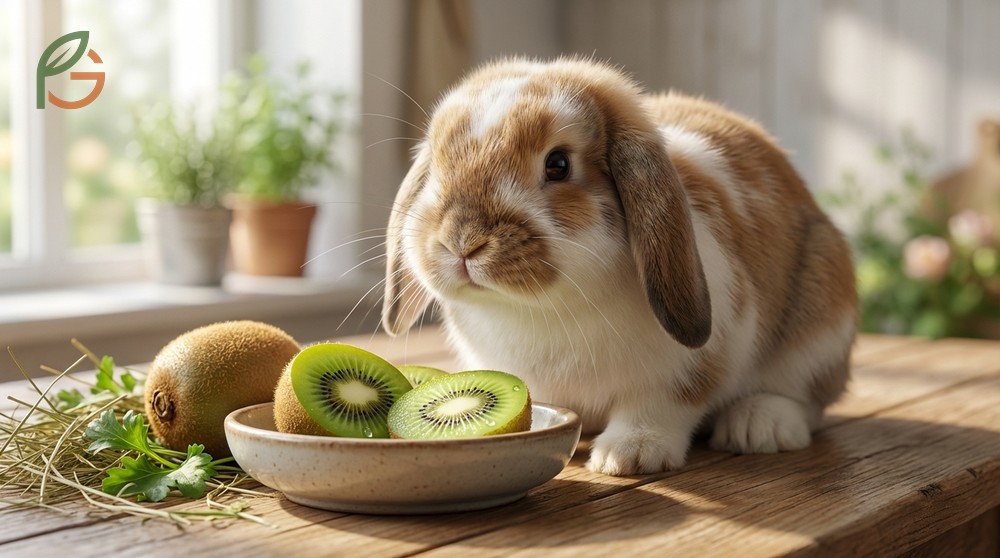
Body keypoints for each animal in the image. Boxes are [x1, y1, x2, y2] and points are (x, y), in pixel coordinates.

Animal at [381, 57, 858, 476]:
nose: (462, 242)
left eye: (558, 164)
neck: (542, 308)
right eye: (438, 163)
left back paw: (759, 426)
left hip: (820, 324)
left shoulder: (692, 363)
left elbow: (662, 405)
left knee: (807, 400)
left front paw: (629, 455)